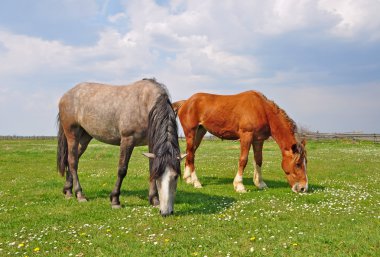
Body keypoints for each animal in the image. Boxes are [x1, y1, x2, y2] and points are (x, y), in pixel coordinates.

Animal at [56, 78, 186, 214]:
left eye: (175, 176)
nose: (166, 212)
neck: (145, 105)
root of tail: (66, 95)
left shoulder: (151, 143)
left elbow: (152, 168)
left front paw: (154, 200)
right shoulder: (127, 139)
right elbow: (122, 169)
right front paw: (115, 200)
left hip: (85, 137)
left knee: (72, 159)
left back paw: (68, 191)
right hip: (72, 134)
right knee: (72, 162)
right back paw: (79, 194)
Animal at [174, 90, 308, 192]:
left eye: (306, 162)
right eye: (298, 164)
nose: (303, 188)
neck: (262, 109)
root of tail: (186, 102)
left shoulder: (258, 140)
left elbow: (258, 160)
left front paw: (260, 183)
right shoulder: (246, 136)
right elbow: (243, 160)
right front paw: (239, 185)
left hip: (200, 132)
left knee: (190, 153)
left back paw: (188, 179)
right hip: (190, 132)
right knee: (191, 155)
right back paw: (196, 182)